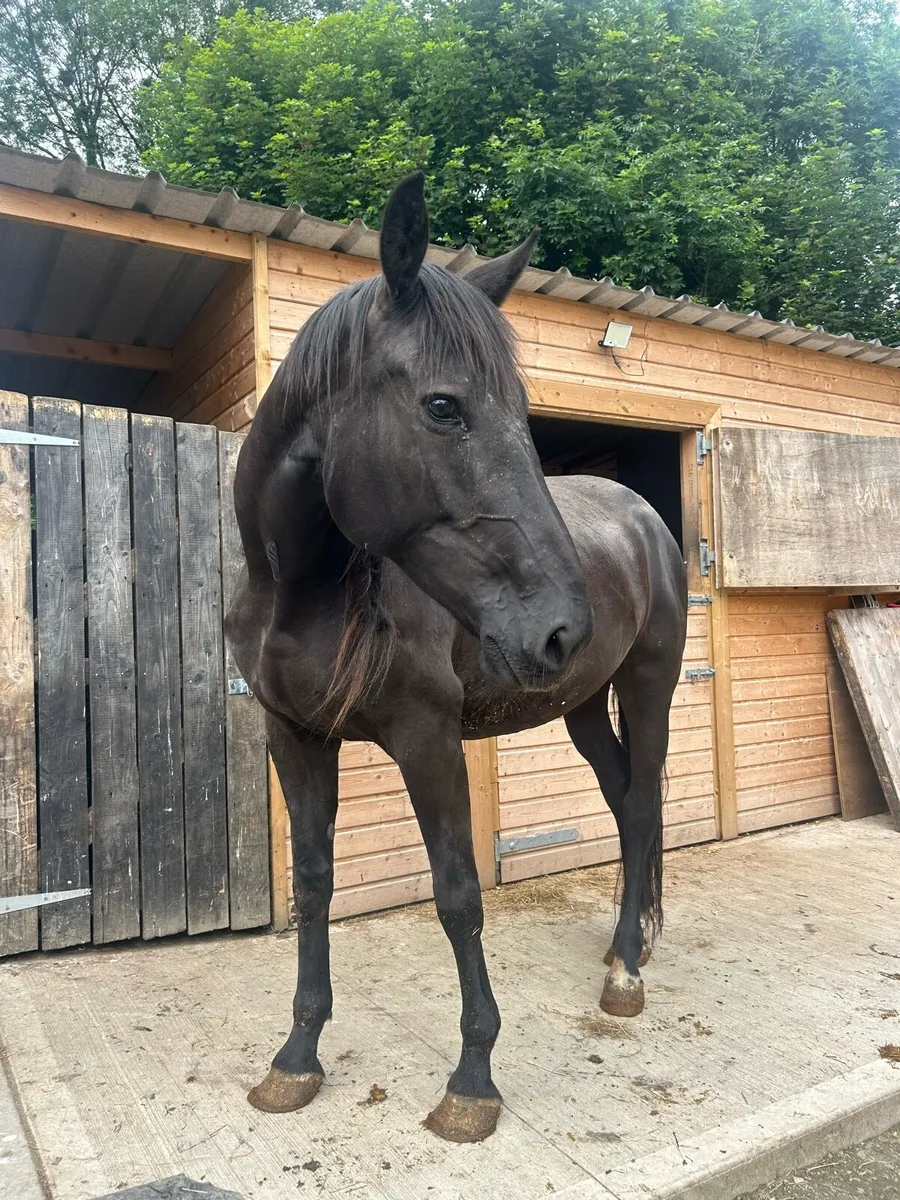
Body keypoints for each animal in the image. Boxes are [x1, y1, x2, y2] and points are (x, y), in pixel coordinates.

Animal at [227, 171, 687, 1144]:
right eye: (444, 406)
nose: (561, 628)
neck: (303, 595)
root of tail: (641, 515)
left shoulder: (428, 740)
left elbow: (458, 894)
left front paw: (473, 1077)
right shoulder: (294, 738)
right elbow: (315, 884)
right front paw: (297, 1056)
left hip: (650, 687)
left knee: (641, 802)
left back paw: (628, 972)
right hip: (582, 708)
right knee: (624, 802)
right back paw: (623, 946)